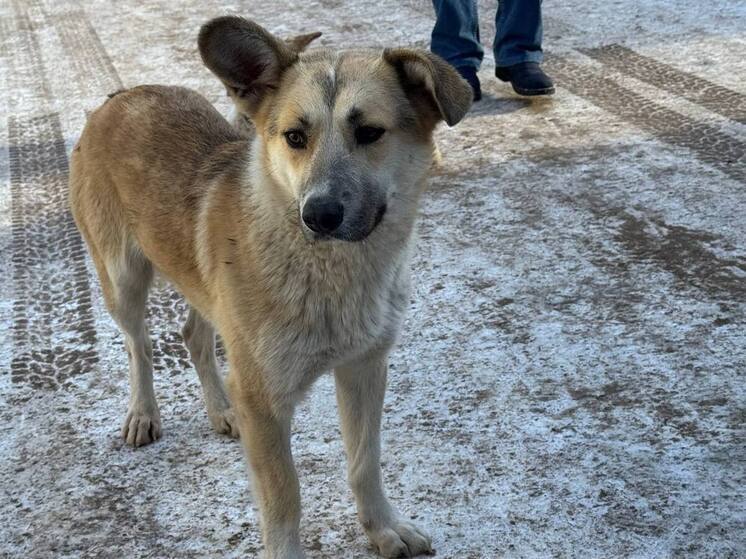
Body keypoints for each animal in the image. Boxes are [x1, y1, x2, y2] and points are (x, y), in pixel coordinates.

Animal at [68, 16, 464, 559]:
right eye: (295, 136)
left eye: (369, 133)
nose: (319, 215)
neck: (332, 274)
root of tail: (122, 94)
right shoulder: (264, 399)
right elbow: (284, 498)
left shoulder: (364, 367)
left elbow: (365, 461)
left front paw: (383, 528)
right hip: (122, 278)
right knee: (139, 345)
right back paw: (143, 413)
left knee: (193, 336)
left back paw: (221, 409)